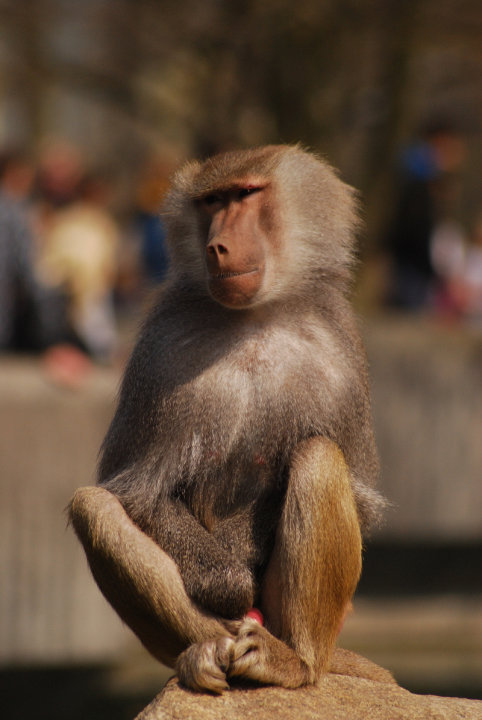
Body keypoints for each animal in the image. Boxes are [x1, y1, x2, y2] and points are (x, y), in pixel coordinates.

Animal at [69, 145, 387, 694]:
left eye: (246, 194)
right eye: (211, 202)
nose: (217, 247)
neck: (253, 319)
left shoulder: (341, 349)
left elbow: (358, 496)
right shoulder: (160, 351)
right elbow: (140, 491)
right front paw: (229, 581)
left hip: (284, 622)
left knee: (318, 455)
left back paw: (293, 662)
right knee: (95, 509)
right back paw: (206, 653)